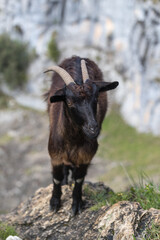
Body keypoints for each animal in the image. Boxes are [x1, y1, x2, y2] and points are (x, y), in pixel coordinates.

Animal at [44, 56, 118, 216]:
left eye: (96, 98)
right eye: (69, 102)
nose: (93, 128)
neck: (73, 141)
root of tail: (76, 57)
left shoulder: (86, 156)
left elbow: (79, 179)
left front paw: (76, 205)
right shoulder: (55, 154)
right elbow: (57, 178)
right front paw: (54, 203)